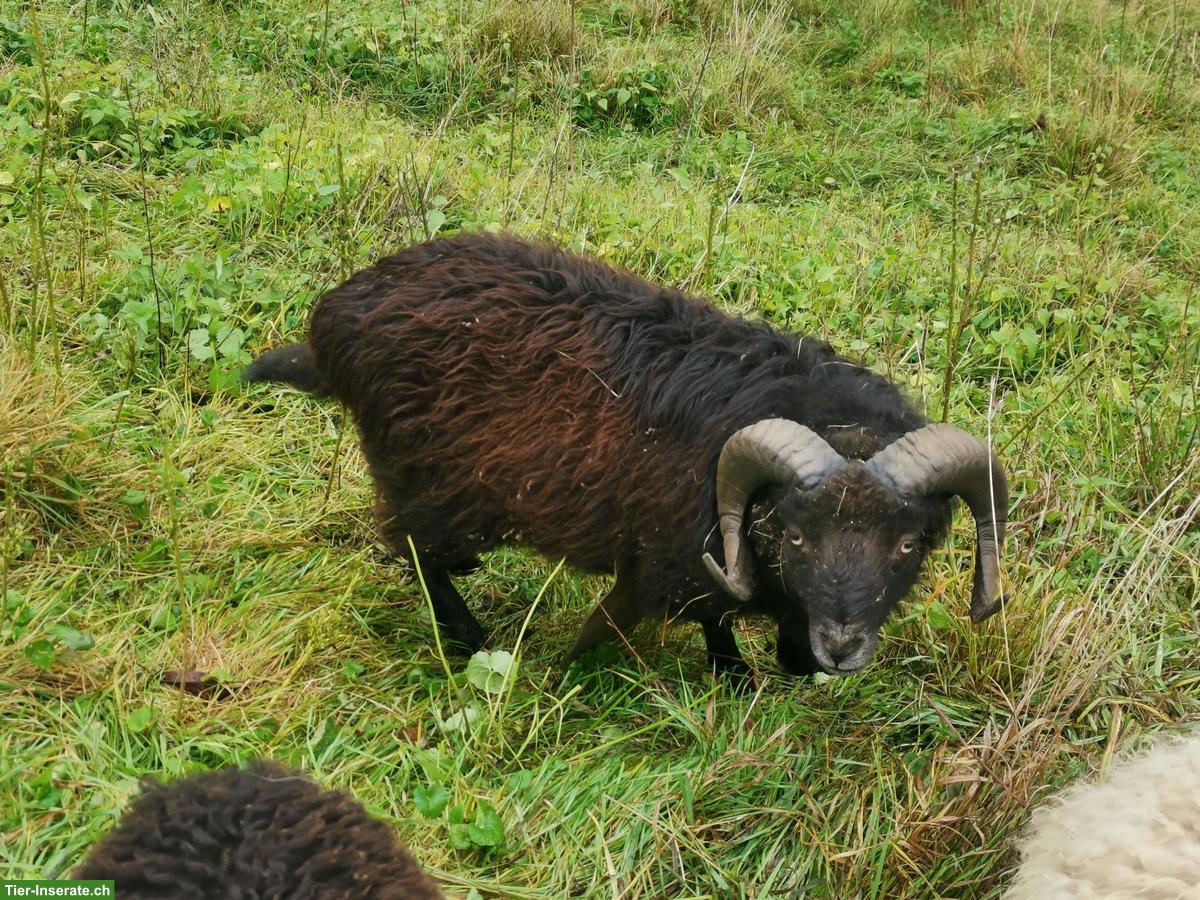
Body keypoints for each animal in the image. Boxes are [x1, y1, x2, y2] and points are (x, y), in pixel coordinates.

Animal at [245, 231, 1008, 680]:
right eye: (793, 535)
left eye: (908, 544)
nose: (840, 651)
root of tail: (336, 316)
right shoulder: (669, 557)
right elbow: (673, 617)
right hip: (427, 480)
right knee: (415, 551)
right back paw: (465, 634)